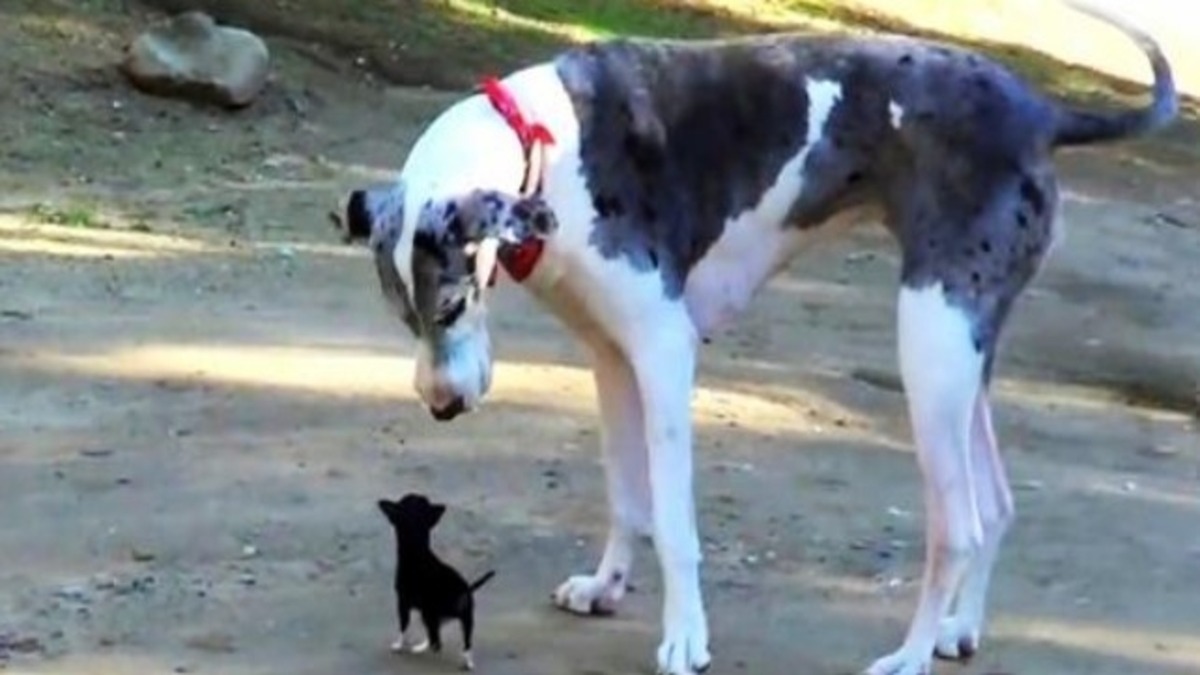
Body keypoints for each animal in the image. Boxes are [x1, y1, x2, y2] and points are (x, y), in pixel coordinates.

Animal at [381, 492, 499, 667]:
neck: (417, 549)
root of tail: (465, 590)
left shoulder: (402, 601)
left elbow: (403, 626)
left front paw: (398, 645)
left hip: (429, 614)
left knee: (436, 641)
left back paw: (421, 648)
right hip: (464, 620)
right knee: (458, 642)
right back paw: (466, 662)